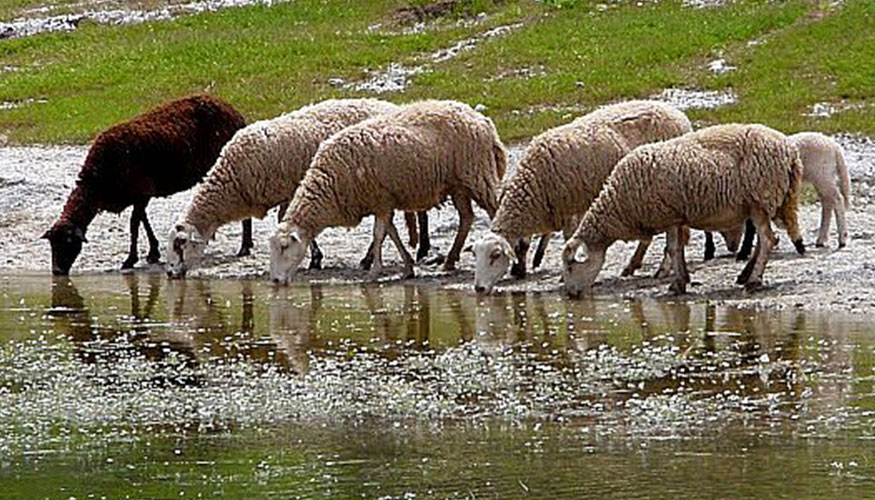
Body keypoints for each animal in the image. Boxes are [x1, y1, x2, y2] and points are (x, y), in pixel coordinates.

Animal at [43, 94, 247, 275]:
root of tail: (235, 113)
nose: (57, 272)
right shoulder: (139, 194)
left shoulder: (142, 192)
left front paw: (130, 259)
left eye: (67, 242)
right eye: (52, 244)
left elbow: (134, 224)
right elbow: (143, 220)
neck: (97, 184)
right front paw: (152, 253)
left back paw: (244, 247)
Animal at [165, 98, 402, 278]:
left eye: (180, 244)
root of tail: (390, 106)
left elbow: (286, 220)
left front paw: (315, 258)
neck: (232, 180)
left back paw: (370, 259)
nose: (168, 273)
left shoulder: (289, 189)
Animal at [268, 99, 507, 284]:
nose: (275, 281)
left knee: (495, 209)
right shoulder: (383, 202)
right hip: (458, 185)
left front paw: (374, 271)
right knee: (466, 217)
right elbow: (392, 233)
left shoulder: (381, 200)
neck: (330, 183)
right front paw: (408, 267)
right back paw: (449, 261)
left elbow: (379, 234)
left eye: (284, 247)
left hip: (477, 175)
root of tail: (481, 119)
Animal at [470, 100, 692, 294]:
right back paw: (634, 265)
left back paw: (662, 269)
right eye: (475, 255)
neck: (533, 182)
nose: (479, 288)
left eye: (495, 255)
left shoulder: (568, 207)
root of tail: (677, 114)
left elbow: (568, 238)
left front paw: (564, 272)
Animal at [562, 123, 805, 298]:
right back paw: (745, 275)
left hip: (760, 198)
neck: (619, 204)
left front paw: (676, 284)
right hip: (758, 203)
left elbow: (672, 249)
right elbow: (677, 249)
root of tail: (790, 152)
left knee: (767, 240)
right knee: (765, 240)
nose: (571, 295)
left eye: (570, 267)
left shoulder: (668, 214)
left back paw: (753, 281)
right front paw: (683, 279)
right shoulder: (678, 216)